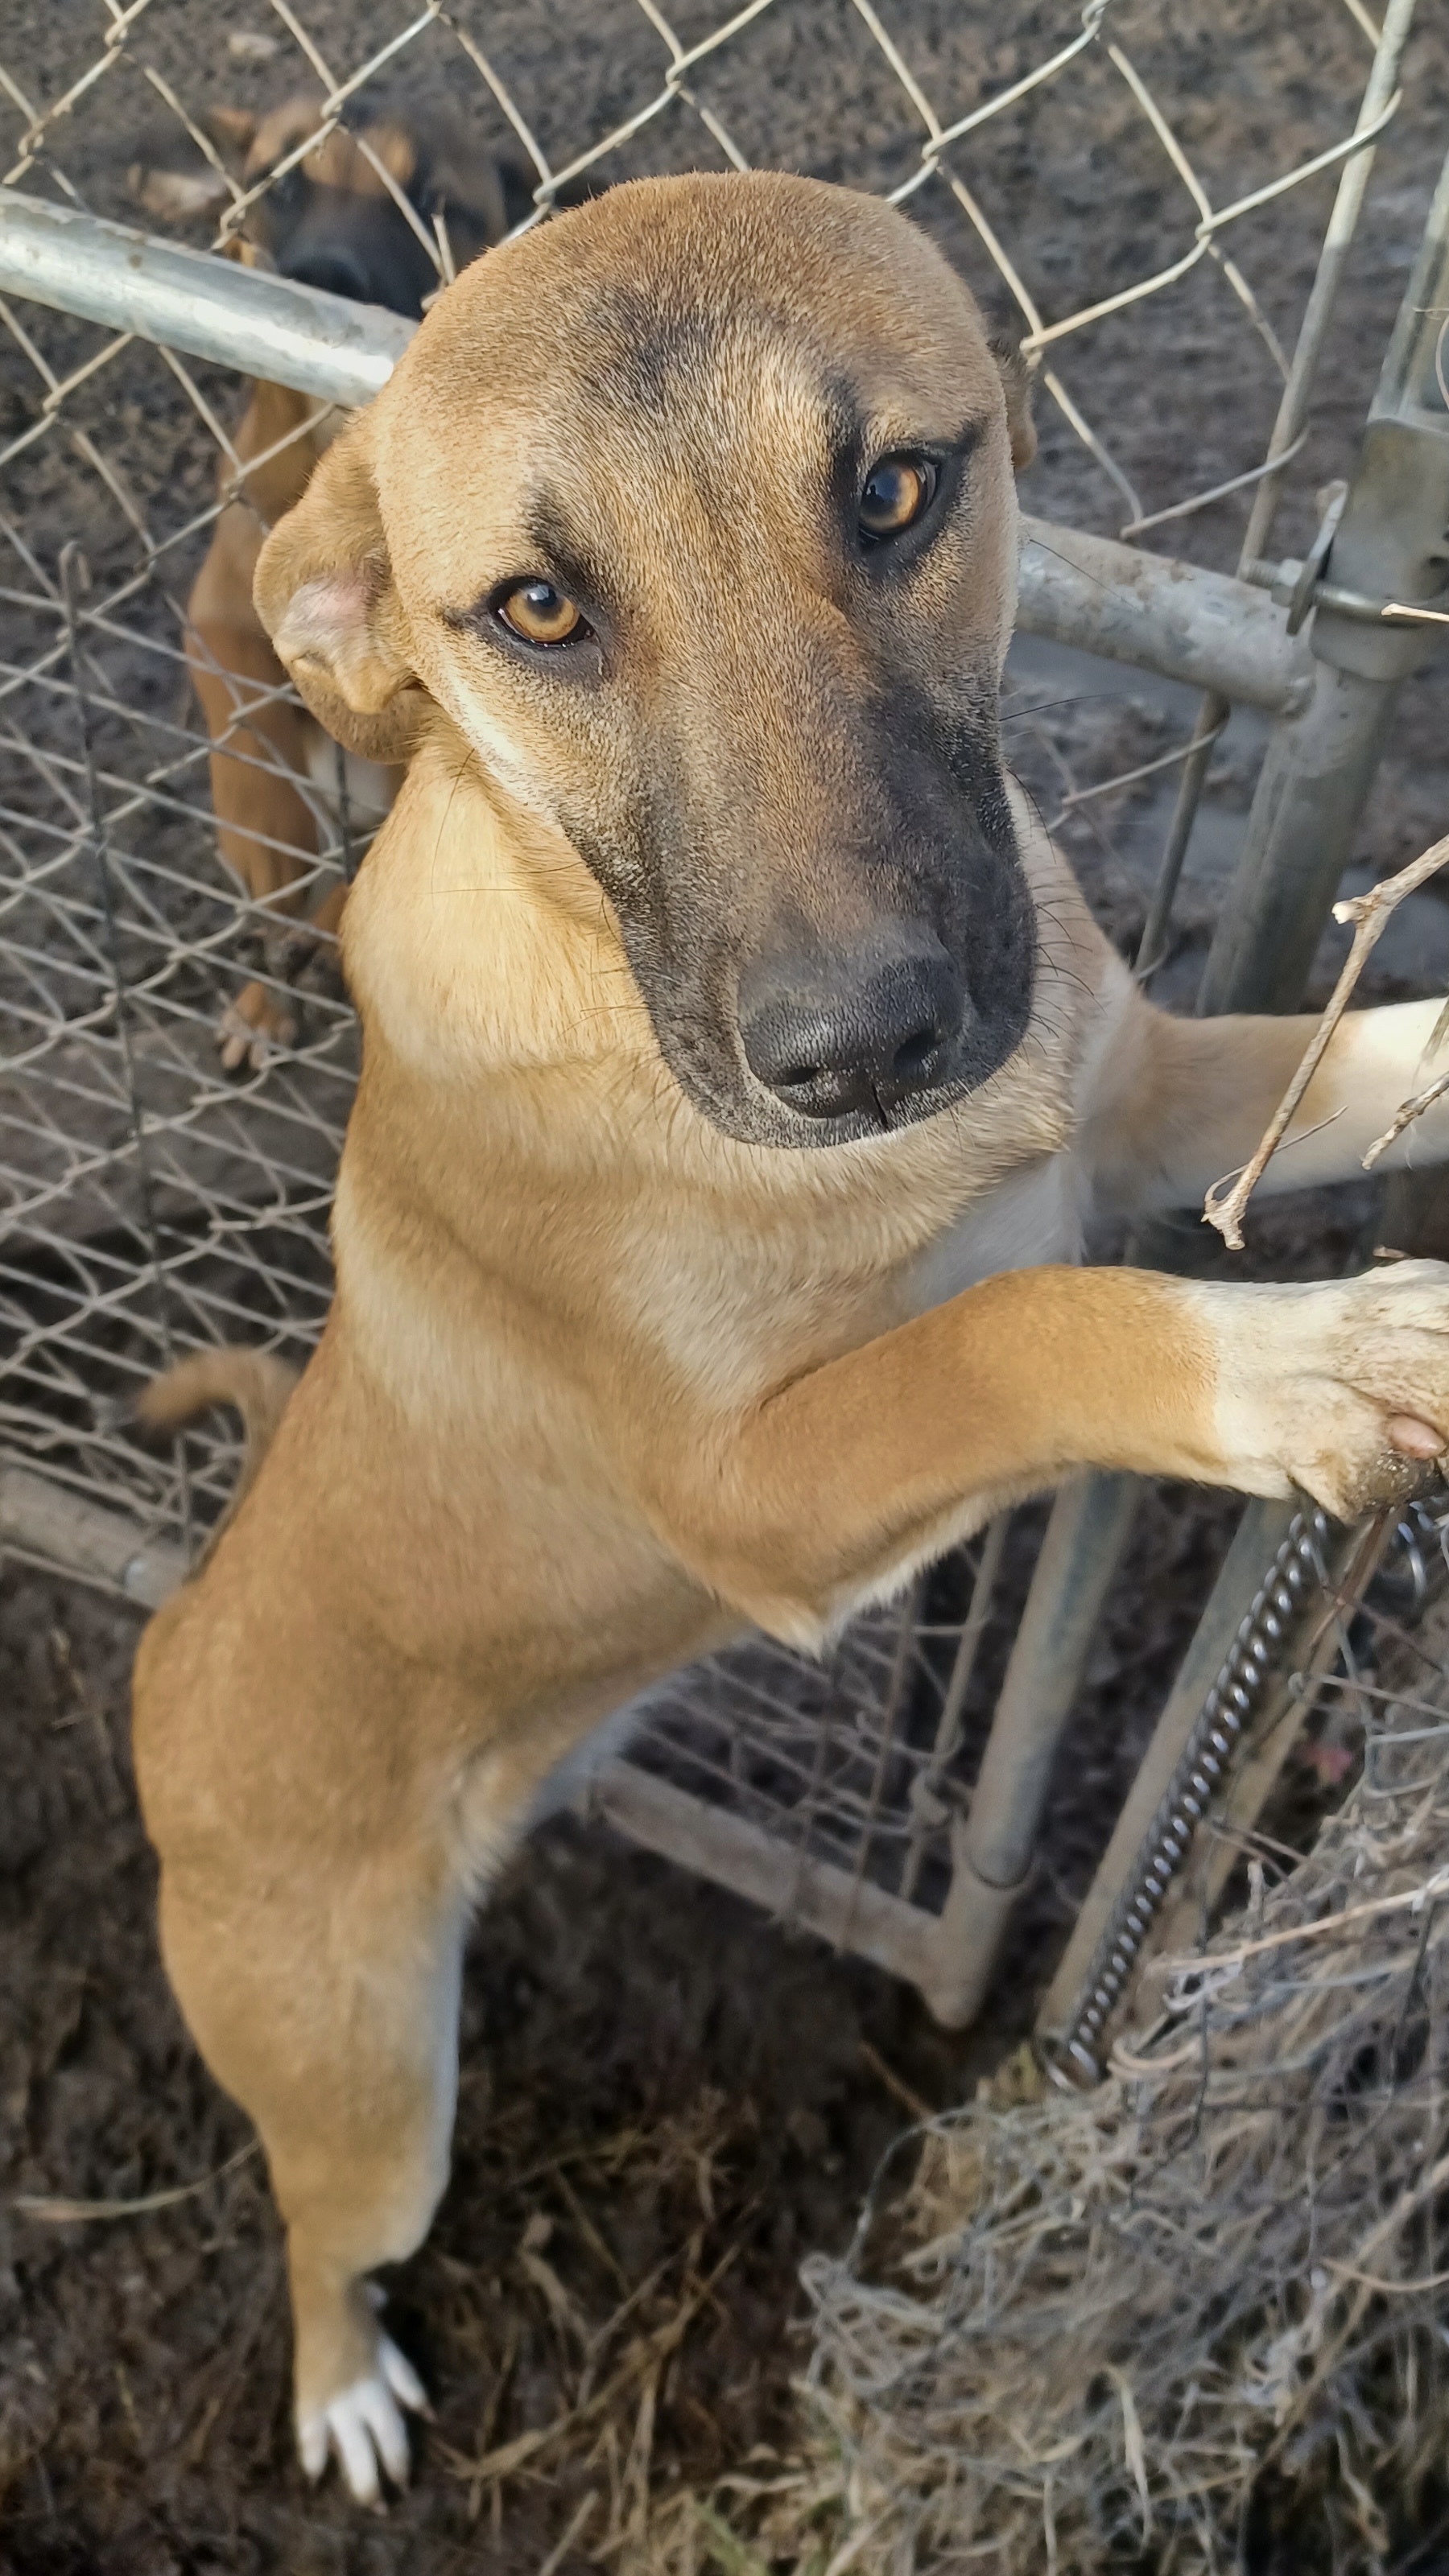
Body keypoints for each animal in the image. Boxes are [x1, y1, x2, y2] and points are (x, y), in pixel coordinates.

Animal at [126, 171, 1449, 2504]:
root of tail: (165, 1658)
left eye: (898, 488)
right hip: (369, 2085)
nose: (868, 1045)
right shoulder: (758, 1488)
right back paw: (337, 2388)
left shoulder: (1143, 1103)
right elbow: (1031, 1325)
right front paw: (1315, 1364)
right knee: (315, 2227)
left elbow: (1356, 1063)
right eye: (538, 608)